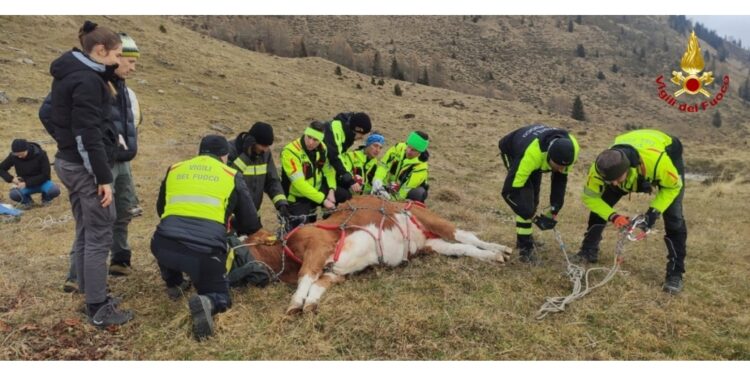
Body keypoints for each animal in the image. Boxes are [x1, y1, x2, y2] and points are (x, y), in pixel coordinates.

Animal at [247, 195, 512, 316]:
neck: (287, 250)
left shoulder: (318, 248)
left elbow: (306, 277)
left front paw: (295, 303)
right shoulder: (335, 273)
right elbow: (319, 284)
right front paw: (310, 303)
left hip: (433, 220)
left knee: (467, 236)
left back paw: (502, 248)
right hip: (432, 244)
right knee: (463, 248)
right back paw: (496, 256)